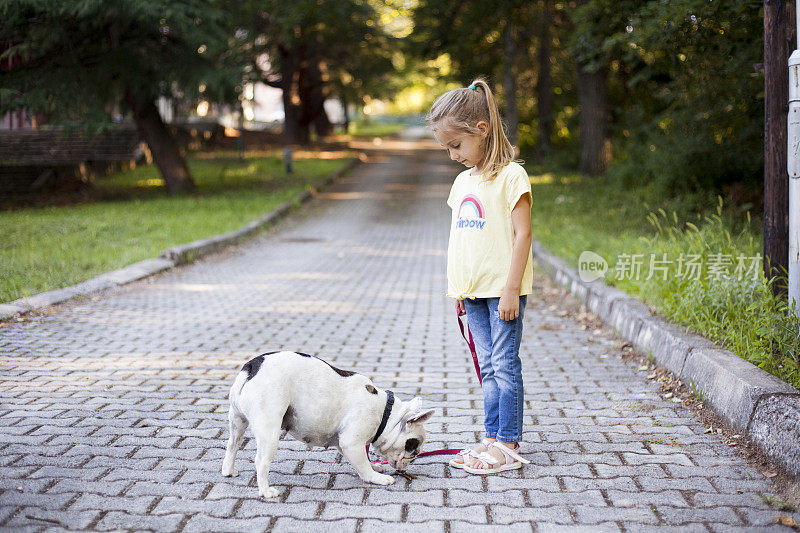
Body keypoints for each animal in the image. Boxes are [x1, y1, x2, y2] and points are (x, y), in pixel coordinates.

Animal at [222, 352, 434, 496]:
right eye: (413, 450)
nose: (409, 464)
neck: (385, 413)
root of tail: (252, 366)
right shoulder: (351, 443)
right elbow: (363, 466)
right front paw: (377, 477)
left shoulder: (343, 442)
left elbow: (363, 461)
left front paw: (376, 467)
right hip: (270, 429)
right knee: (261, 461)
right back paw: (266, 491)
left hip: (237, 421)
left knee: (233, 445)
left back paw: (228, 471)